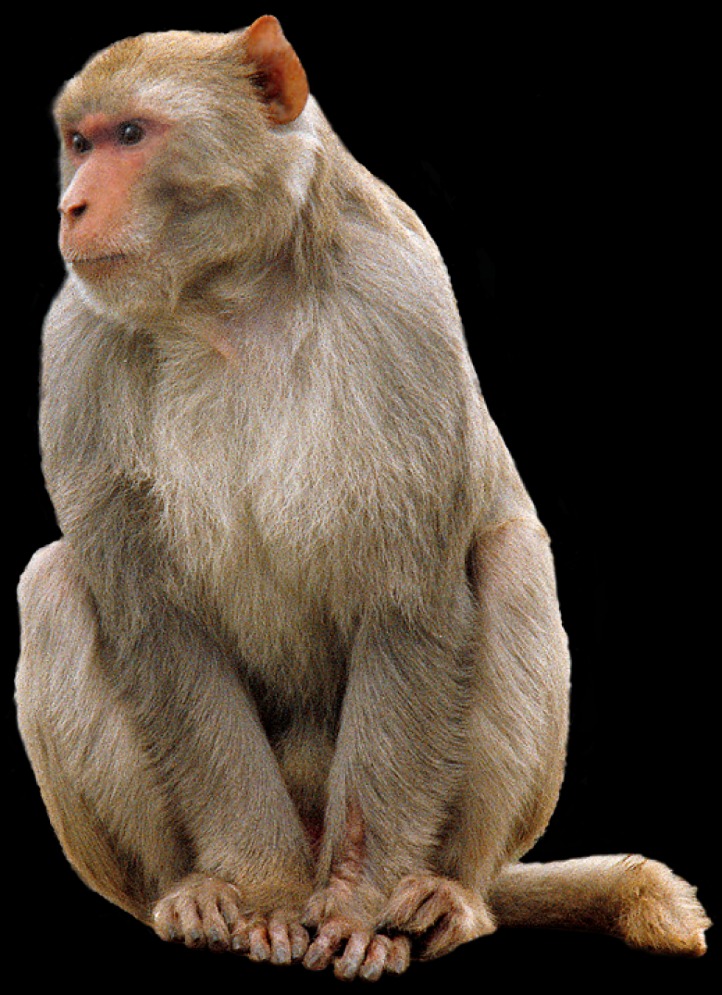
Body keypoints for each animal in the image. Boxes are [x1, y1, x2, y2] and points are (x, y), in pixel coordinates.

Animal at [15, 15, 710, 982]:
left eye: (130, 134)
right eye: (78, 143)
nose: (72, 207)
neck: (229, 297)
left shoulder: (401, 310)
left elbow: (408, 605)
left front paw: (354, 906)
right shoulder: (75, 344)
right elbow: (158, 625)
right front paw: (263, 894)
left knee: (510, 559)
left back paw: (447, 896)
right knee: (53, 583)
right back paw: (189, 892)